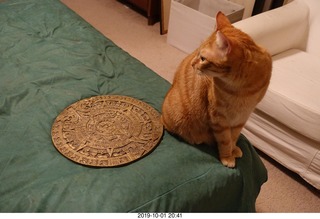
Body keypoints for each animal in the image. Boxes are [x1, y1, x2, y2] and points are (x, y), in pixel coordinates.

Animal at [161, 11, 272, 167]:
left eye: (202, 58)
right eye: (197, 54)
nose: (192, 64)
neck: (243, 89)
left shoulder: (242, 117)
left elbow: (234, 137)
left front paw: (233, 149)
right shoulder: (219, 118)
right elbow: (225, 140)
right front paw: (227, 157)